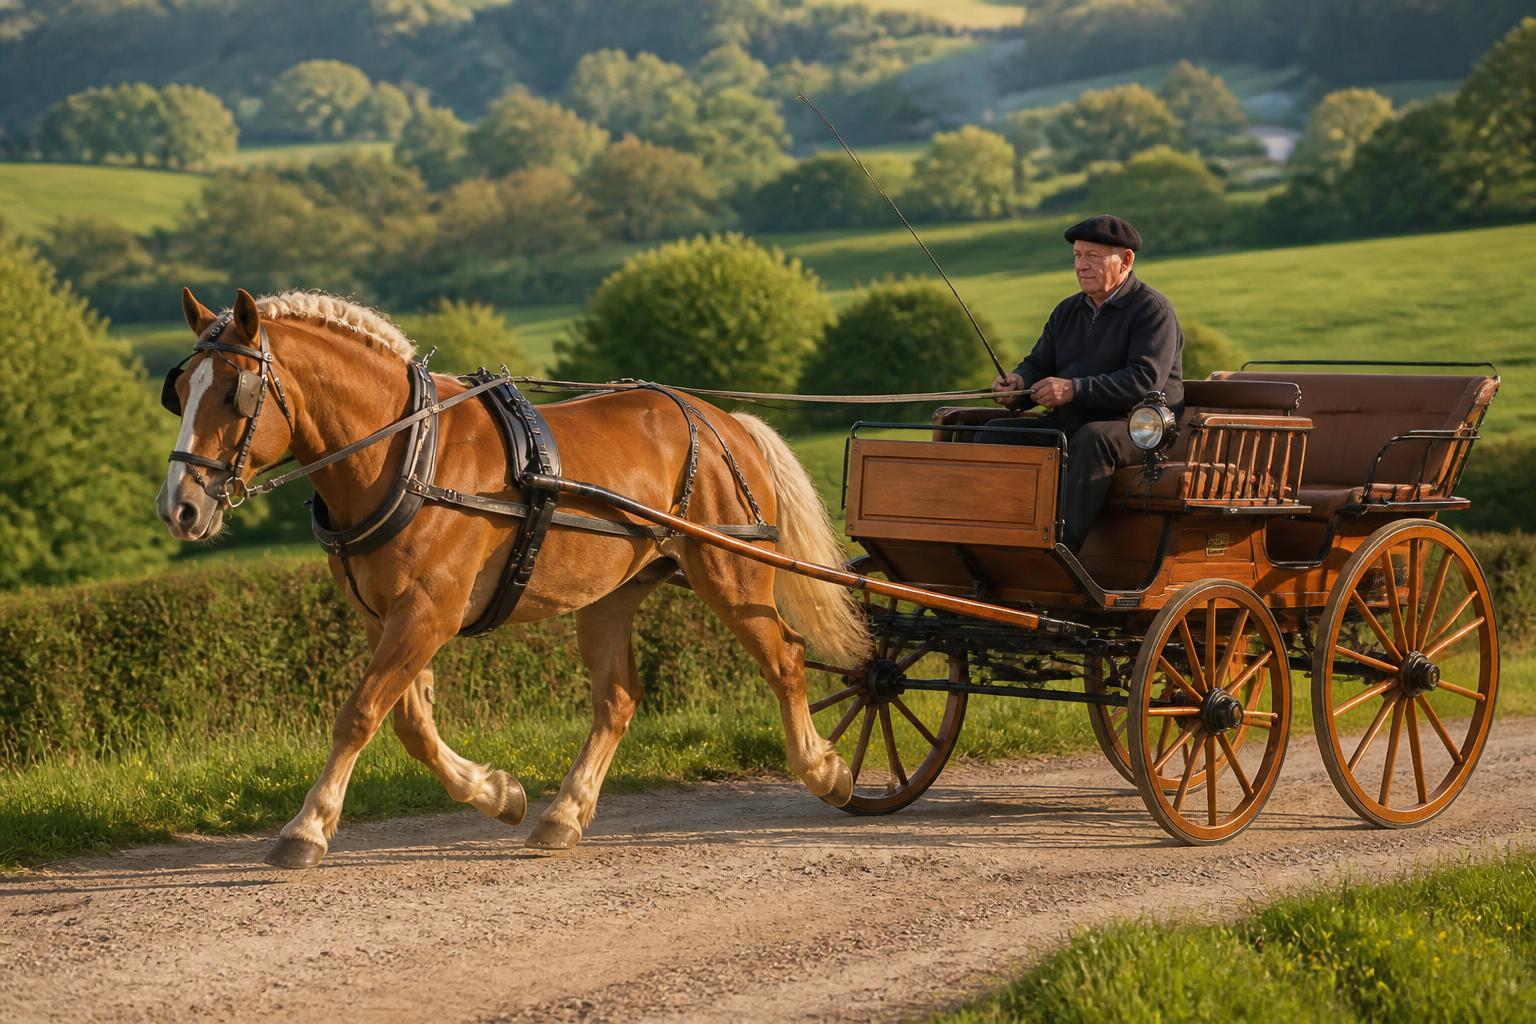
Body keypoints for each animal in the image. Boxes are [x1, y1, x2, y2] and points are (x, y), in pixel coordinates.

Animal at [156, 287, 870, 868]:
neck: (406, 455)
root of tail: (721, 420)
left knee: (785, 657)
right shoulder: (386, 617)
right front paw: (498, 794)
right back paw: (564, 816)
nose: (178, 507)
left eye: (234, 393)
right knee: (617, 699)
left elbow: (360, 714)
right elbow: (411, 722)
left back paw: (825, 770)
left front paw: (306, 828)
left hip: (733, 572)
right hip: (610, 595)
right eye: (180, 392)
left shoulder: (429, 612)